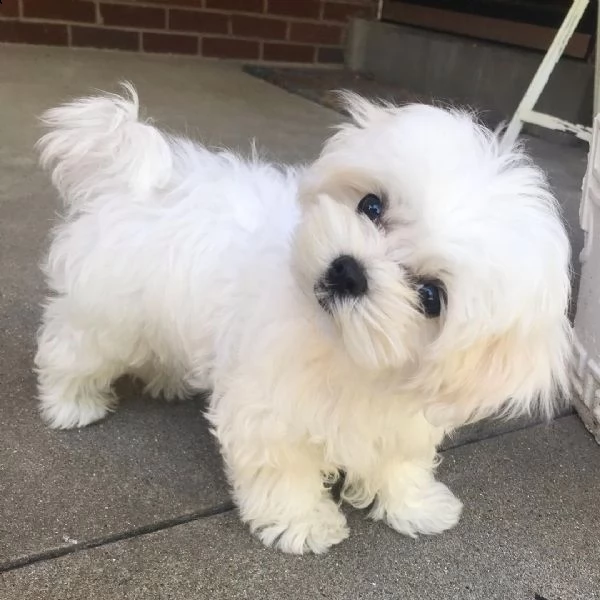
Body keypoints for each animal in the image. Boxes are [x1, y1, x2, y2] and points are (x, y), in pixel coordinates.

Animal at [34, 84, 572, 552]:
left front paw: (416, 506)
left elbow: (399, 464)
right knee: (71, 349)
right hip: (106, 316)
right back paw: (71, 403)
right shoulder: (269, 411)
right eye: (370, 205)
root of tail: (130, 179)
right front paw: (304, 523)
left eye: (431, 296)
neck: (345, 350)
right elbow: (284, 471)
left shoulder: (398, 421)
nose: (349, 270)